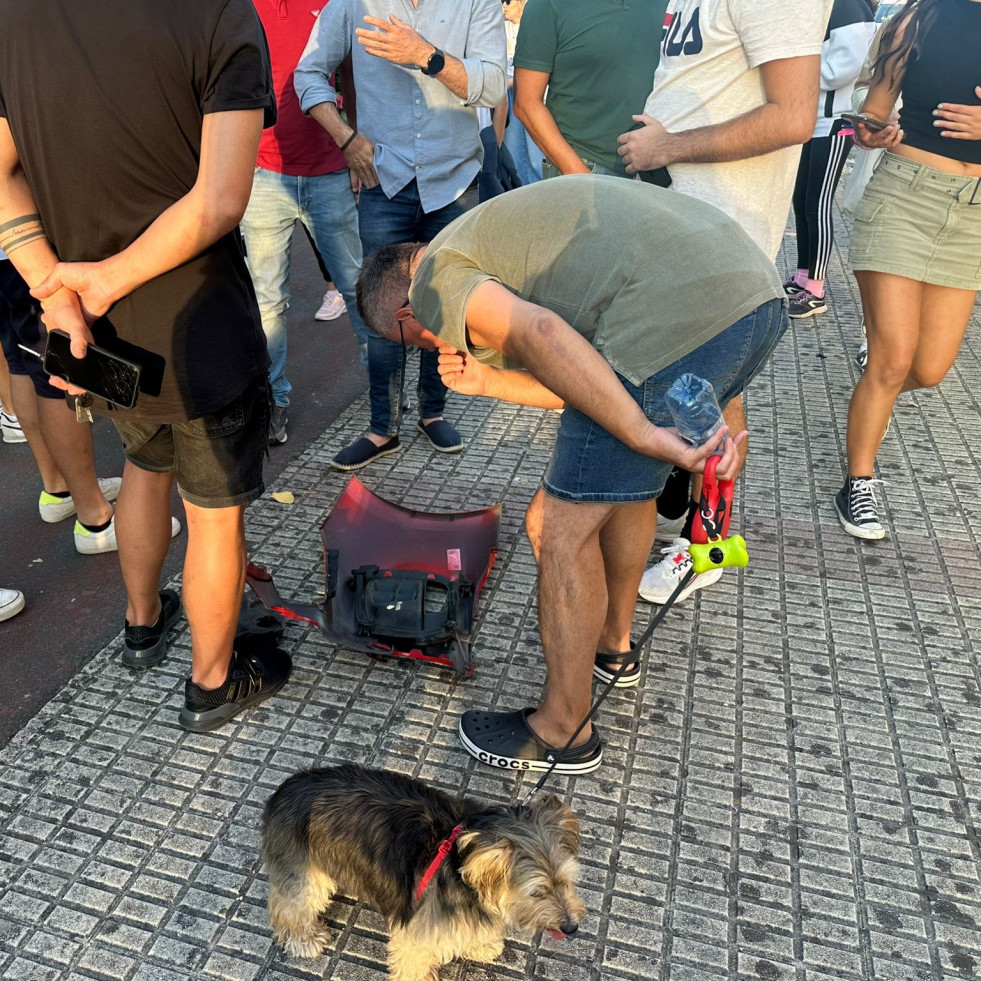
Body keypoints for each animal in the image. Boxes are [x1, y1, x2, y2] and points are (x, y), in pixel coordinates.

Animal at [260, 764, 584, 980]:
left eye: (567, 882)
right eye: (538, 892)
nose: (571, 928)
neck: (460, 865)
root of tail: (285, 788)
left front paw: (482, 944)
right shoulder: (418, 933)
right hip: (304, 870)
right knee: (289, 906)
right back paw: (304, 940)